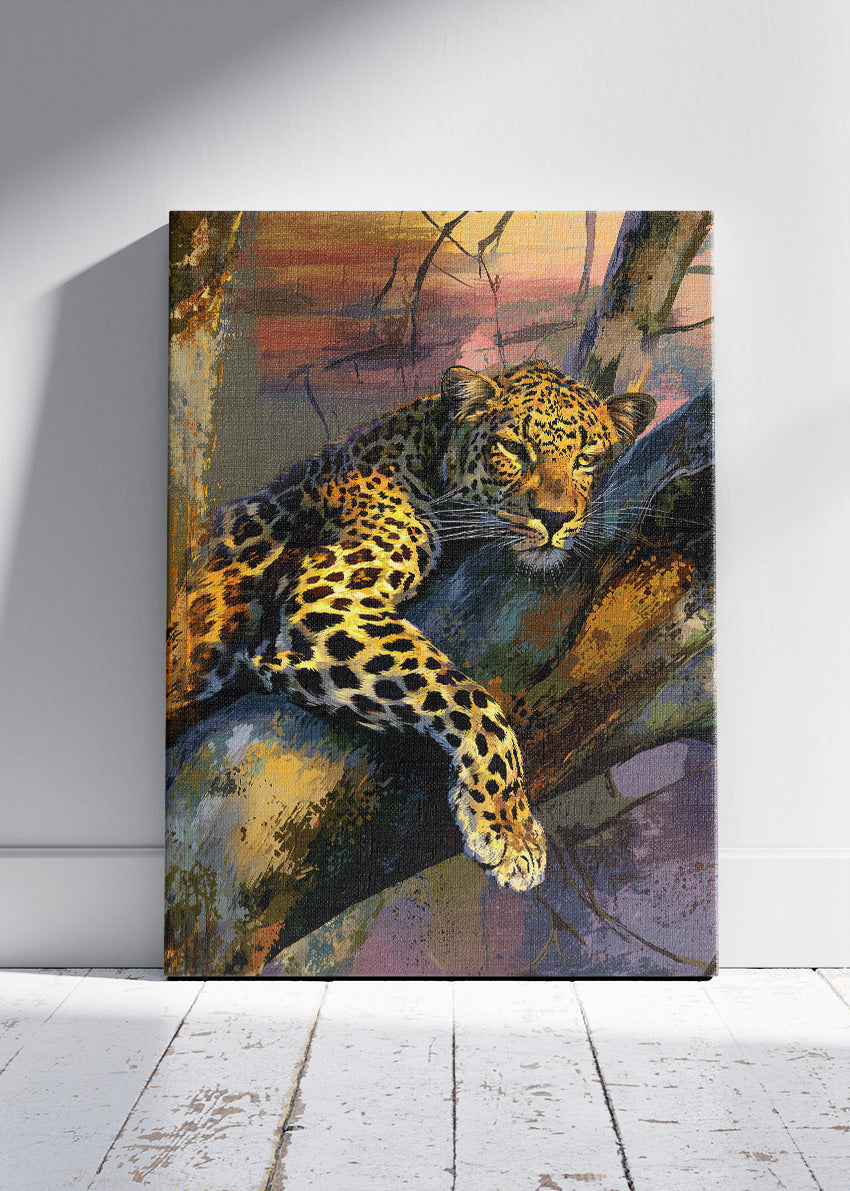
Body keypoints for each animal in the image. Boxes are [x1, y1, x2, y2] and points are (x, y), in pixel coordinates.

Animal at [167, 361, 656, 892]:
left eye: (588, 458)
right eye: (513, 448)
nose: (554, 518)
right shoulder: (333, 596)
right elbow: (469, 697)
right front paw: (509, 830)